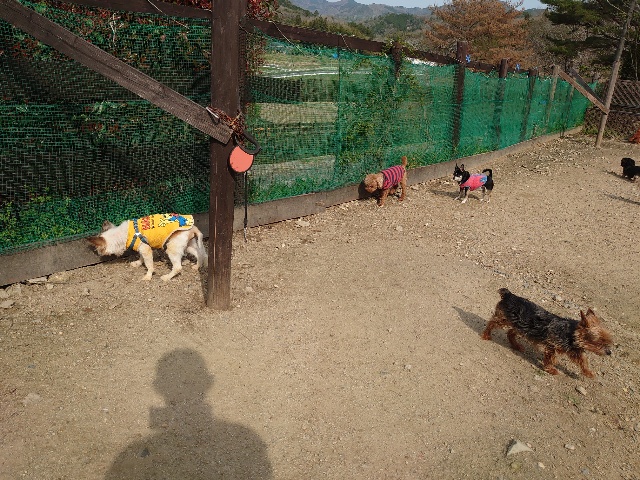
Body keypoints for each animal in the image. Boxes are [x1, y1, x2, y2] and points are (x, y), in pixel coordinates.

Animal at [482, 288, 613, 378]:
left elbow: (583, 360)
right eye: (599, 341)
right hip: (504, 319)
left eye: (608, 340)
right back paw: (486, 335)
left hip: (521, 326)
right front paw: (551, 369)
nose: (609, 352)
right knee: (492, 323)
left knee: (510, 332)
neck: (570, 333)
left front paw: (588, 372)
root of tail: (509, 295)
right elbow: (551, 359)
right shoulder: (552, 346)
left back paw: (517, 346)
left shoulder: (574, 350)